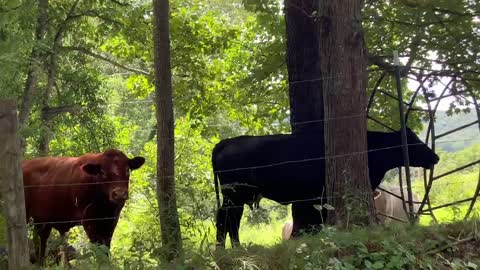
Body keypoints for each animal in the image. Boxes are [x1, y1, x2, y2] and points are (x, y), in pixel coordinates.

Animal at [213, 127, 438, 248]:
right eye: (414, 141)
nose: (435, 157)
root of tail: (226, 142)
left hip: (237, 197)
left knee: (230, 220)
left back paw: (232, 248)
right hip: (234, 194)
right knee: (226, 219)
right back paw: (227, 248)